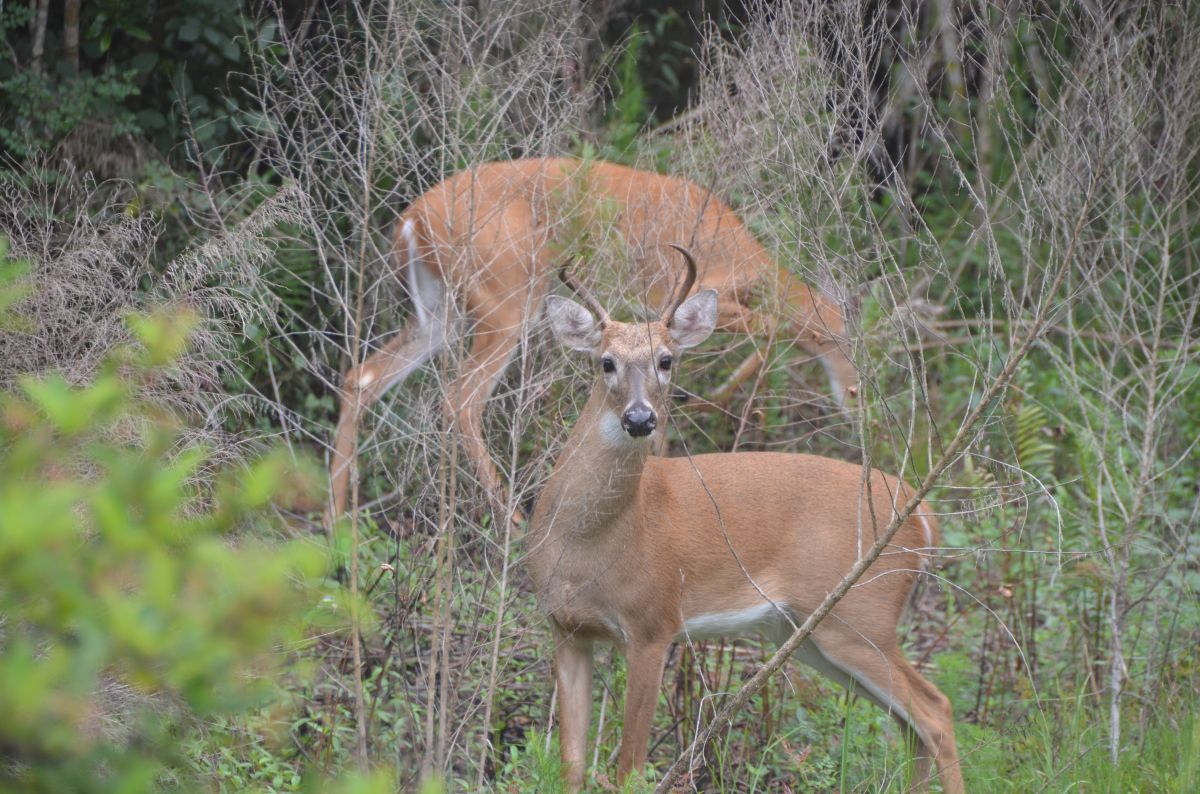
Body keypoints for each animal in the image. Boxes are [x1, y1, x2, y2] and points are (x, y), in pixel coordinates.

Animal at [326, 158, 854, 525]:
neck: (740, 255)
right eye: (848, 344)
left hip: (441, 313)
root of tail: (411, 221)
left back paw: (336, 523)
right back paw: (514, 521)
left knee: (362, 377)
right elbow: (778, 326)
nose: (855, 400)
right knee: (459, 399)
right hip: (505, 301)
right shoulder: (686, 294)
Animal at [530, 249, 960, 794]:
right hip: (808, 632)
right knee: (911, 726)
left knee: (936, 712)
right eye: (605, 361)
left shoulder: (654, 624)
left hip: (860, 616)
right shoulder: (566, 630)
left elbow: (629, 768)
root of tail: (920, 513)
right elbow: (572, 765)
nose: (640, 419)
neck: (589, 544)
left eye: (666, 360)